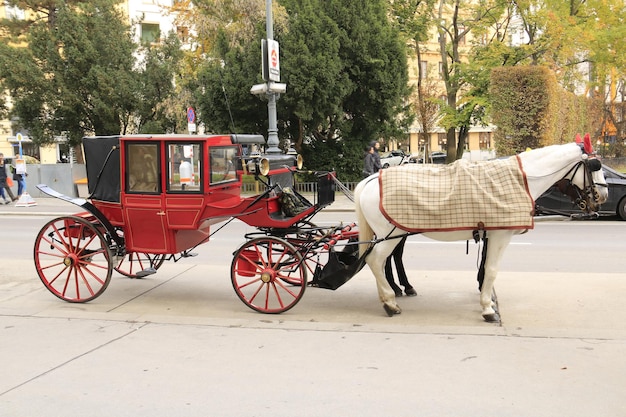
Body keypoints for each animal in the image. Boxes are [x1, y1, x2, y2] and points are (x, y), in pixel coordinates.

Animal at [356, 141, 604, 320]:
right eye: (595, 166)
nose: (604, 195)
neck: (519, 180)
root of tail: (372, 179)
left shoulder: (490, 234)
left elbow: (485, 267)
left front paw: (487, 297)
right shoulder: (500, 235)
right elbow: (492, 269)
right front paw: (487, 308)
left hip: (393, 234)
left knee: (384, 260)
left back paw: (393, 293)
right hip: (389, 234)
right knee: (376, 260)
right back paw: (390, 301)